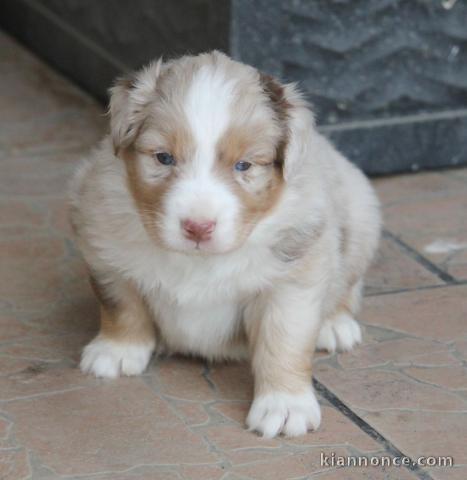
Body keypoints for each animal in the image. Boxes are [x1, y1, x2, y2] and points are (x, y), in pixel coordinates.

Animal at [69, 52, 380, 438]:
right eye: (163, 158)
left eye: (243, 165)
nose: (198, 227)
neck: (197, 262)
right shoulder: (103, 247)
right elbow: (121, 305)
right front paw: (117, 351)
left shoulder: (292, 279)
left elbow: (284, 343)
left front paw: (285, 406)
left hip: (362, 212)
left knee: (348, 283)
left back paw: (335, 325)